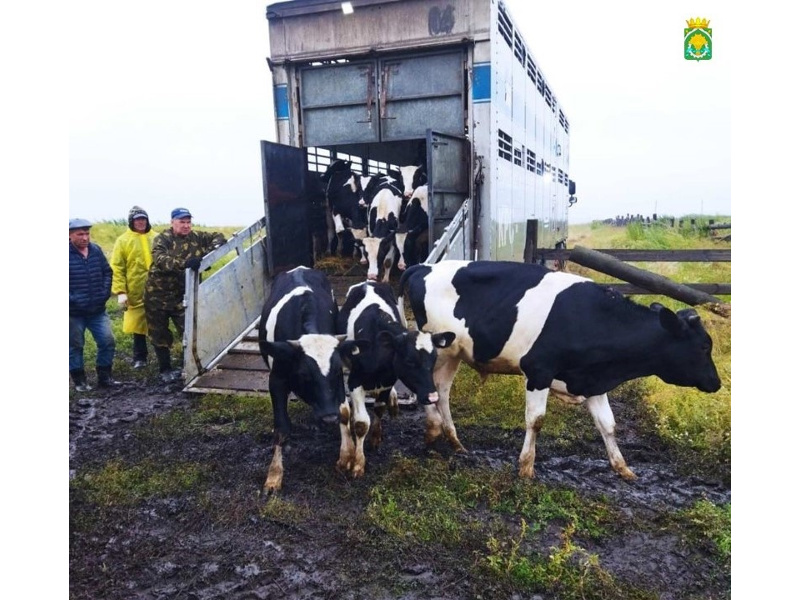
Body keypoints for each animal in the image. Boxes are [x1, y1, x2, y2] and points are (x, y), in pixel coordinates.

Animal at [260, 268, 366, 492]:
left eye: (336, 372)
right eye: (304, 374)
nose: (328, 417)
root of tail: (299, 268)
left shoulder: (338, 383)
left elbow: (345, 412)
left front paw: (346, 454)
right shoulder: (276, 381)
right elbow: (281, 428)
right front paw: (274, 475)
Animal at [334, 282, 454, 478]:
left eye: (434, 359)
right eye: (409, 361)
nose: (433, 397)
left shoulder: (388, 381)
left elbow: (379, 409)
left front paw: (376, 437)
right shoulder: (355, 382)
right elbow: (361, 423)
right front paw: (358, 463)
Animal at [396, 262, 720, 482]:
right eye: (704, 346)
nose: (716, 383)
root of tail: (425, 266)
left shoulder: (592, 381)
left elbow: (608, 425)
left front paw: (623, 468)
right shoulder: (538, 371)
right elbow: (536, 421)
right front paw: (526, 467)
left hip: (455, 353)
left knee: (442, 391)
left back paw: (453, 441)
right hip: (439, 349)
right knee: (430, 388)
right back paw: (434, 430)